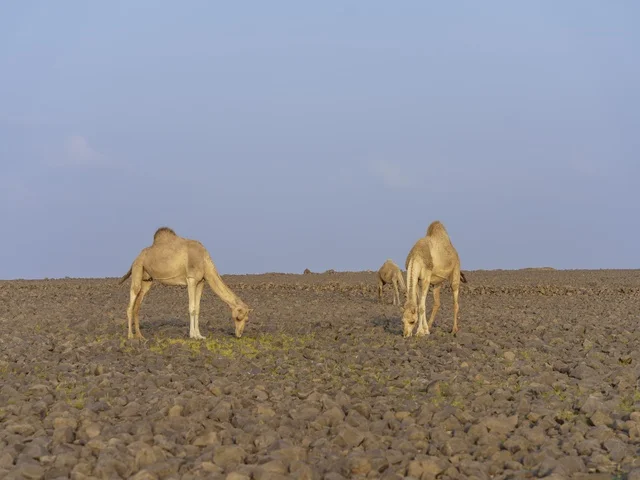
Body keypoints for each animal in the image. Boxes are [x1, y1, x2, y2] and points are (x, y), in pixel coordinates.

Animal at [118, 227, 253, 340]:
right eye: (238, 317)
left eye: (247, 319)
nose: (239, 334)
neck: (204, 261)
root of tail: (136, 257)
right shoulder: (191, 279)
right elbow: (192, 308)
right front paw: (193, 335)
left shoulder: (201, 282)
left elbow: (198, 308)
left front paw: (200, 335)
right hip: (138, 268)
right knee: (131, 303)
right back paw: (130, 336)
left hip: (147, 279)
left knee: (137, 305)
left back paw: (140, 336)